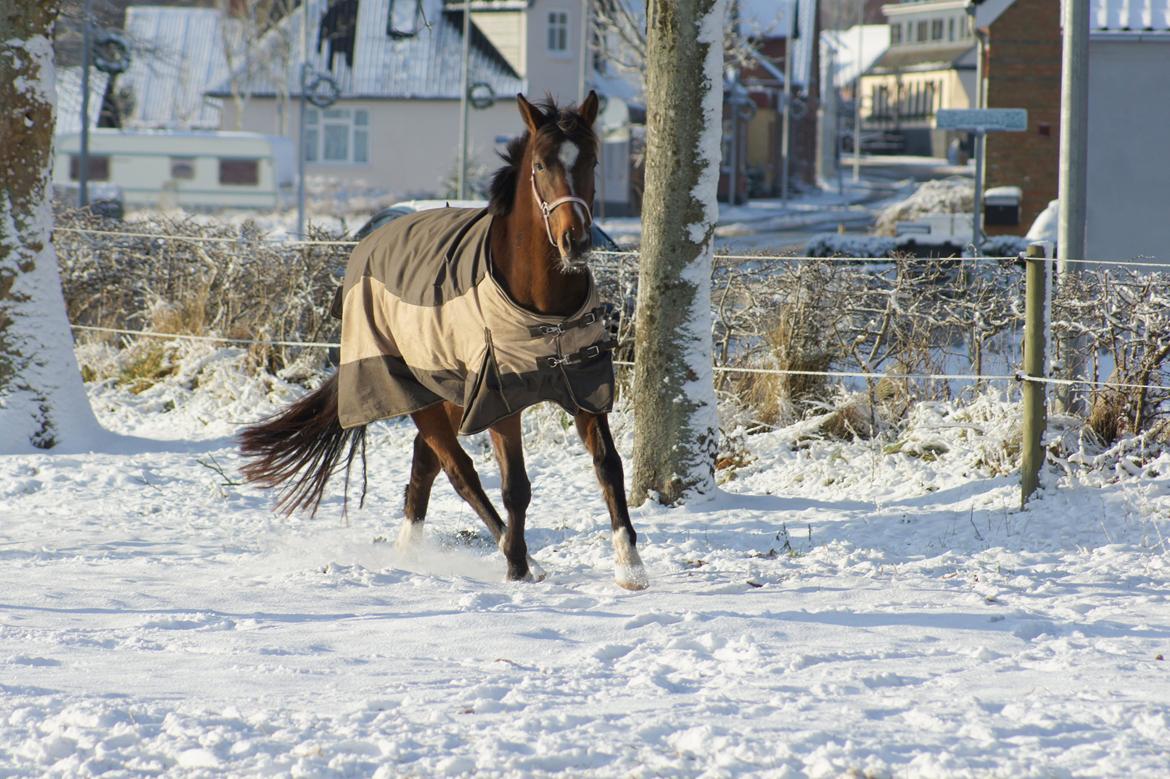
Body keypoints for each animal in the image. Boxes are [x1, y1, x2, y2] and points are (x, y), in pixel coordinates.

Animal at [236, 91, 650, 589]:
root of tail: (369, 244)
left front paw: (630, 564)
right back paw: (518, 557)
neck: (542, 308)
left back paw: (409, 549)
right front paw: (516, 568)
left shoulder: (584, 387)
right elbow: (515, 486)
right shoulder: (500, 400)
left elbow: (609, 466)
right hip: (415, 393)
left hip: (449, 390)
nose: (576, 242)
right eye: (541, 165)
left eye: (590, 160)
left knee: (425, 462)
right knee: (457, 469)